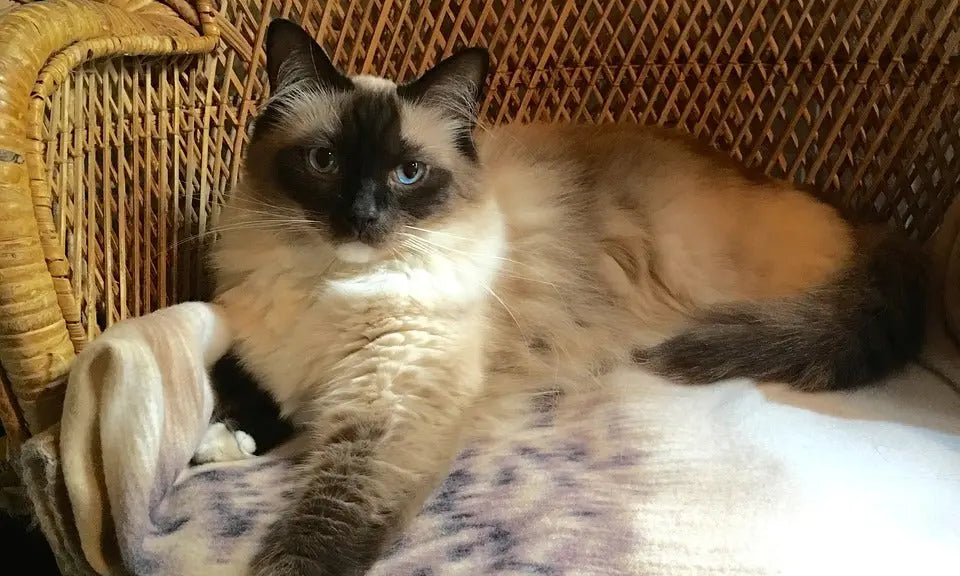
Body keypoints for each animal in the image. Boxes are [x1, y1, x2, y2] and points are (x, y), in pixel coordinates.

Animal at [204, 18, 928, 576]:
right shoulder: (266, 353)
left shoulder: (392, 408)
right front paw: (224, 441)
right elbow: (240, 390)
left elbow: (329, 518)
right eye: (323, 162)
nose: (361, 216)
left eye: (407, 174)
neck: (331, 283)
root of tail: (859, 216)